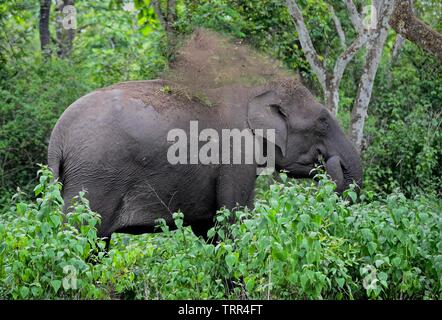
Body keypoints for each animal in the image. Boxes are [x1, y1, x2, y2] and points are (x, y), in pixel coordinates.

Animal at [47, 78, 362, 245]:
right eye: (323, 121)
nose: (329, 161)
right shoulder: (237, 155)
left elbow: (210, 229)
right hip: (95, 177)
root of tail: (58, 137)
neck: (255, 91)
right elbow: (234, 219)